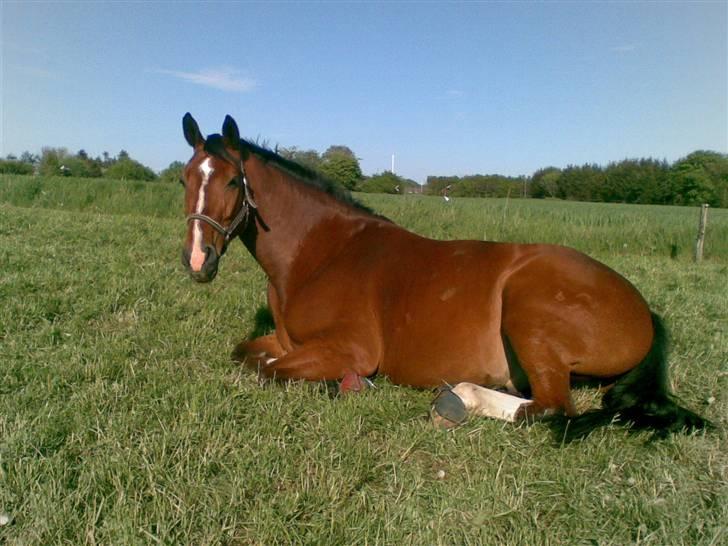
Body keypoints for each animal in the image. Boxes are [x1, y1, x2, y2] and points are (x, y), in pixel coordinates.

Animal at [179, 113, 708, 438]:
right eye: (184, 178)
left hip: (530, 316)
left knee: (550, 408)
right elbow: (249, 356)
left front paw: (343, 385)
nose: (197, 260)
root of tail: (643, 308)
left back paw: (458, 400)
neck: (321, 253)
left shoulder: (349, 350)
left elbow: (269, 372)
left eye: (233, 181)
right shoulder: (286, 341)